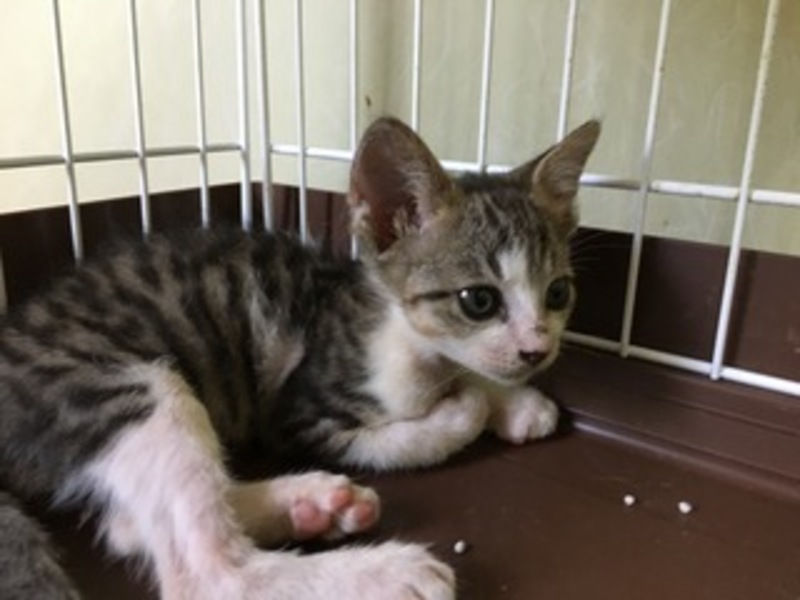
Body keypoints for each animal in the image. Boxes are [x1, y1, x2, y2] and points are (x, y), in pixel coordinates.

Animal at [0, 116, 599, 600]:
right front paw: (468, 407)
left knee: (129, 527)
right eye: (479, 300)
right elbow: (402, 439)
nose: (537, 349)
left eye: (558, 294)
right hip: (120, 386)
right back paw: (375, 572)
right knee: (200, 571)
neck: (405, 336)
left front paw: (515, 401)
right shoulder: (300, 414)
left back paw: (311, 505)